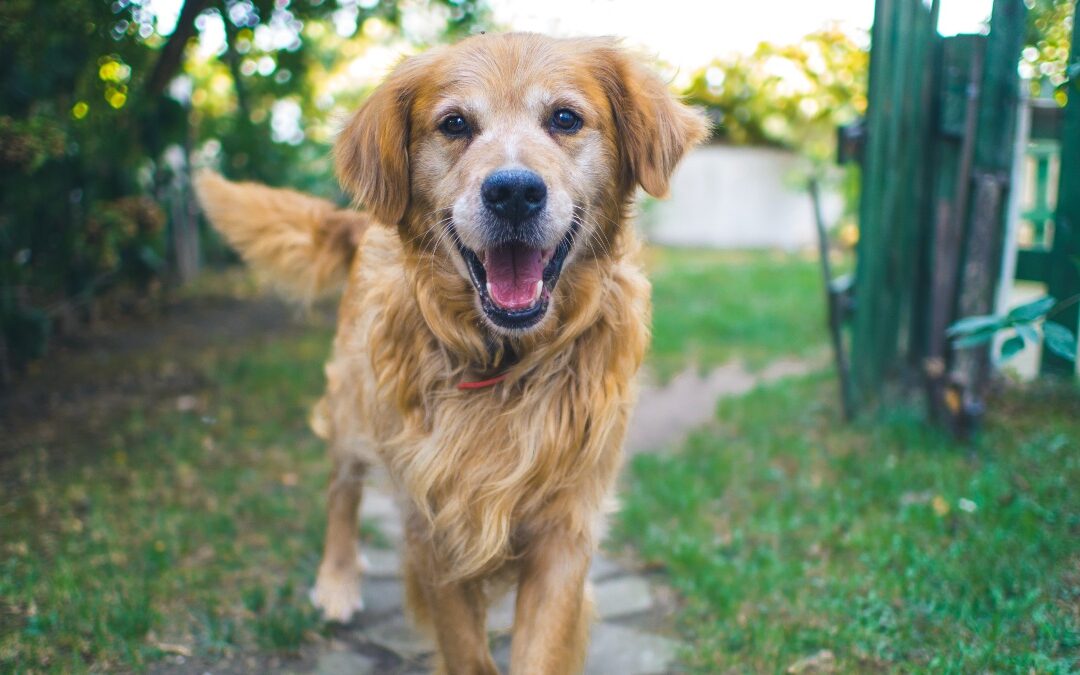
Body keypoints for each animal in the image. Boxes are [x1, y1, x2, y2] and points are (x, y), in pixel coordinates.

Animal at [196, 32, 708, 673]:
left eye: (565, 118)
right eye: (455, 124)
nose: (513, 192)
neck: (505, 361)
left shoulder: (565, 527)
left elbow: (540, 647)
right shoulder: (434, 521)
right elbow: (465, 648)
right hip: (353, 405)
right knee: (342, 488)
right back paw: (337, 579)